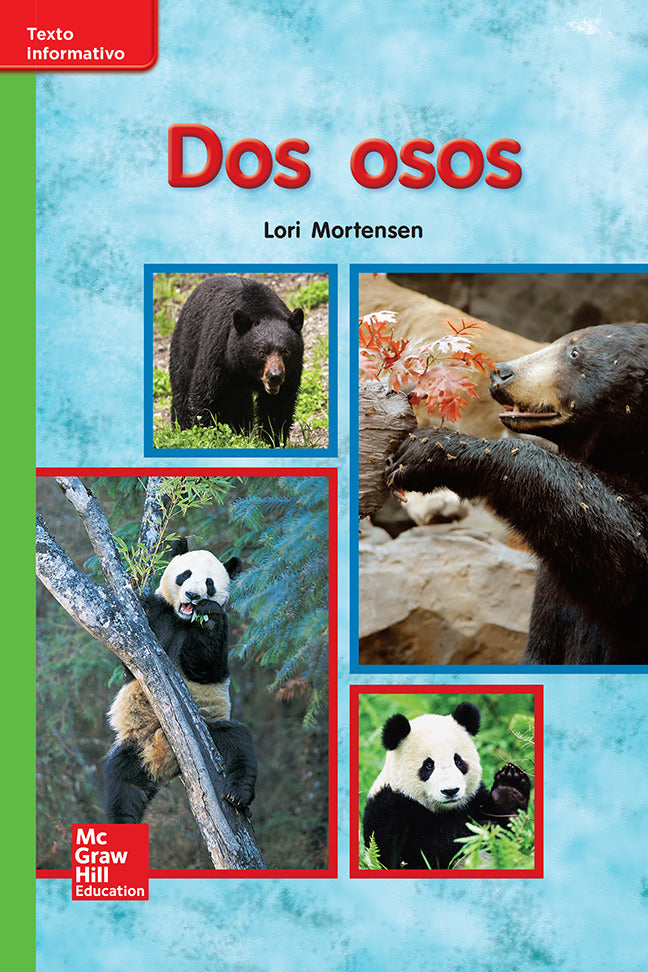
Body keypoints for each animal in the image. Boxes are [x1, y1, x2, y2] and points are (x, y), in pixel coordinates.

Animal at [169, 275, 304, 446]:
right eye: (262, 352)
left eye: (285, 351)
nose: (275, 376)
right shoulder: (219, 355)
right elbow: (207, 397)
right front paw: (208, 436)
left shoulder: (291, 373)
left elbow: (277, 407)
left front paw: (273, 440)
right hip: (185, 346)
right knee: (181, 390)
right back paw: (182, 430)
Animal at [362, 702, 531, 870]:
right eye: (428, 765)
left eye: (458, 761)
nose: (450, 791)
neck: (444, 810)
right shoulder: (388, 808)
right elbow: (407, 853)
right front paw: (478, 829)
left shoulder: (475, 797)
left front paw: (508, 792)